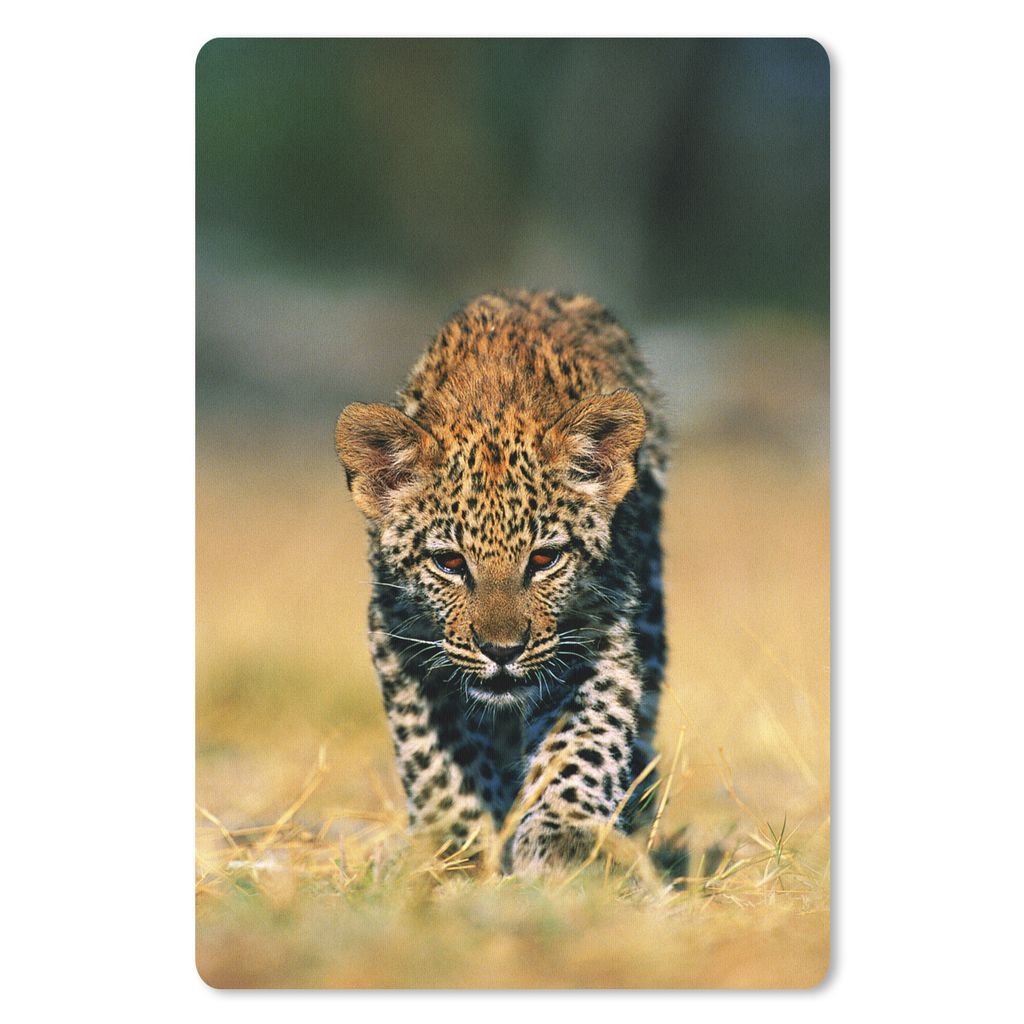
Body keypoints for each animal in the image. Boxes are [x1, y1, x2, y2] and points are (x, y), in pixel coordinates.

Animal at [335, 289, 668, 874]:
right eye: (449, 563)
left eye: (544, 559)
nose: (502, 651)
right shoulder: (399, 639)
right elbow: (436, 755)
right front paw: (457, 843)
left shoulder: (601, 636)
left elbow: (581, 741)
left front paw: (565, 839)